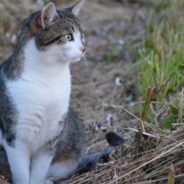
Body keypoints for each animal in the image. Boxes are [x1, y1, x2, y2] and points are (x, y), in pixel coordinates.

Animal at [0, 0, 123, 183]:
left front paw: (39, 180)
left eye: (82, 36)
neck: (49, 78)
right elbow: (22, 174)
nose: (84, 48)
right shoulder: (15, 138)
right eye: (68, 37)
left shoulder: (52, 137)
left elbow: (38, 173)